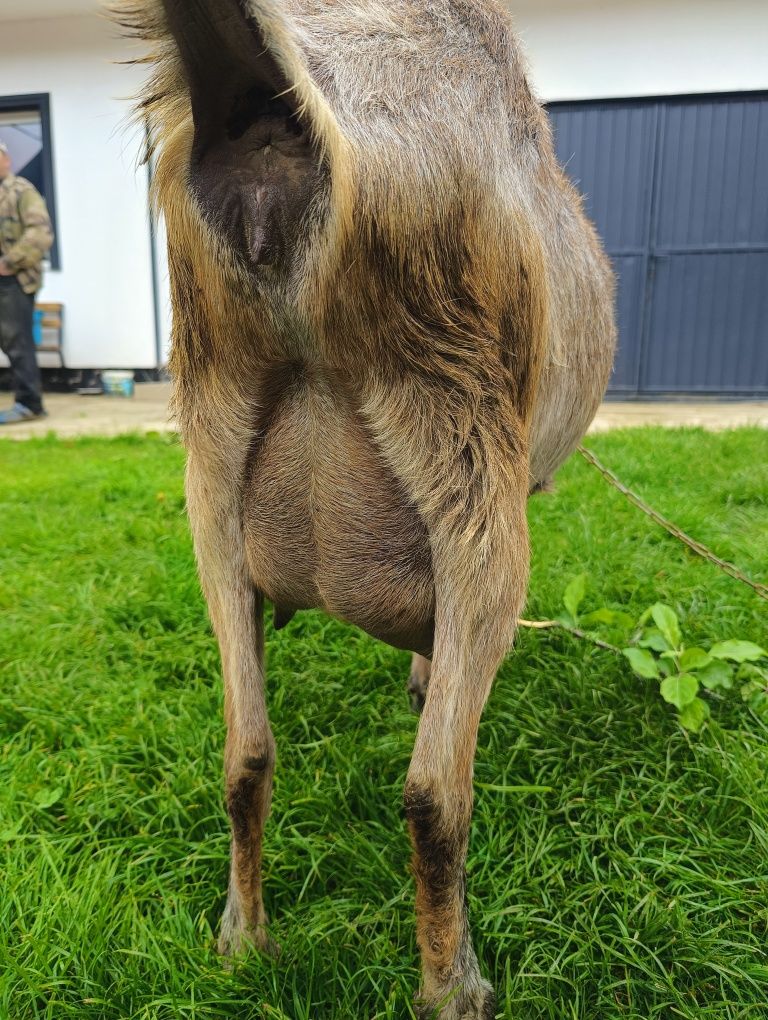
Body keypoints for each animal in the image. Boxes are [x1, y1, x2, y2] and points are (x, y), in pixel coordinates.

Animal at [119, 3, 616, 1015]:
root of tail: (274, 113)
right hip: (468, 456)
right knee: (434, 792)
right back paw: (453, 986)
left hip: (212, 468)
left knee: (245, 751)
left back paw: (243, 940)